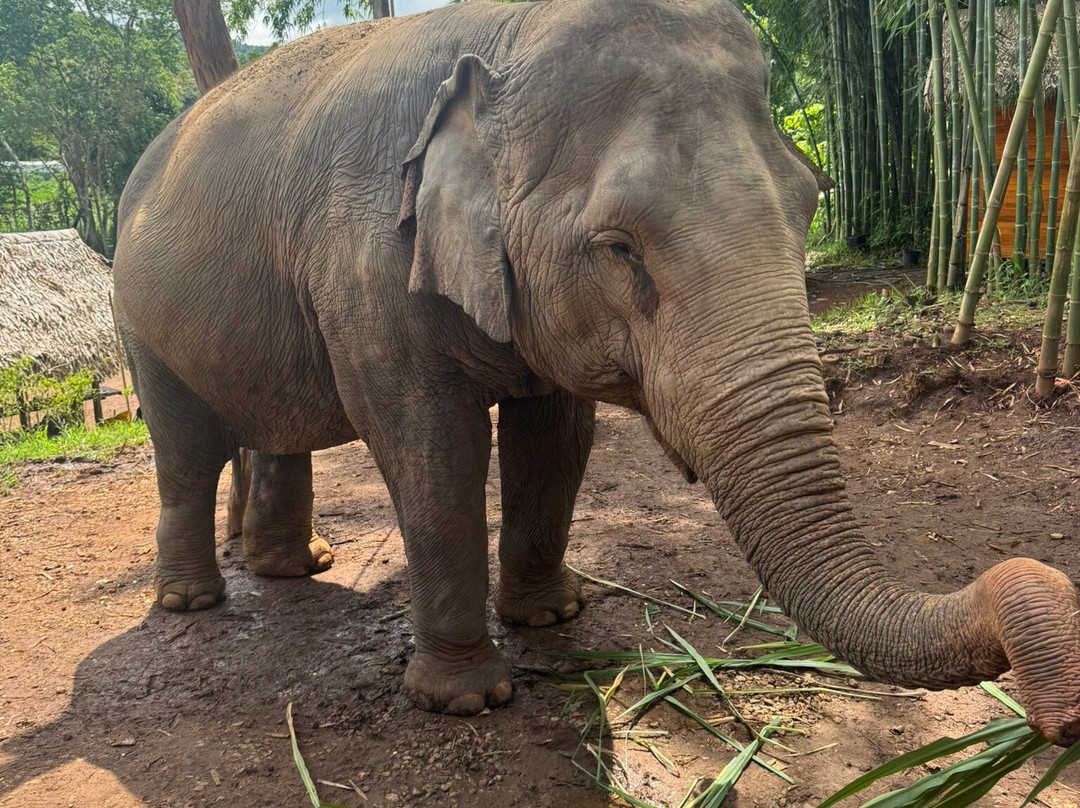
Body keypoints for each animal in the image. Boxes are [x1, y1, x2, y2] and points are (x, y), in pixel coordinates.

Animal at [112, 0, 1080, 742]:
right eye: (619, 247)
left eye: (811, 202)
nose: (1058, 721)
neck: (503, 31)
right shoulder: (364, 270)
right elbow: (433, 454)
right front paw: (468, 699)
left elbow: (555, 440)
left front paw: (552, 617)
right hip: (133, 315)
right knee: (186, 450)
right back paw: (191, 602)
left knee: (272, 429)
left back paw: (296, 566)